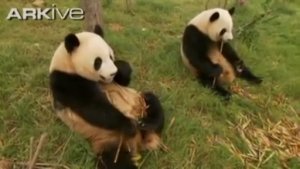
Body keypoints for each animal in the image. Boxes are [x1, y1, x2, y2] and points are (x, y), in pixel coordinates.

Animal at [50, 25, 165, 169]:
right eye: (98, 61)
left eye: (110, 56)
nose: (112, 72)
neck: (67, 64)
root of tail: (141, 141)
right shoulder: (67, 82)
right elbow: (94, 107)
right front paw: (128, 125)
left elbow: (123, 81)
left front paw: (121, 67)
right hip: (108, 140)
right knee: (115, 161)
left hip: (140, 101)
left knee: (152, 101)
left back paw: (148, 123)